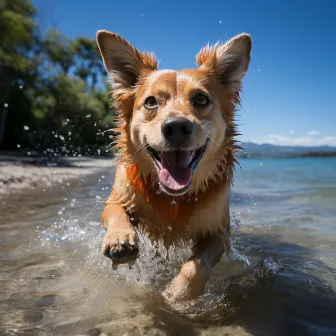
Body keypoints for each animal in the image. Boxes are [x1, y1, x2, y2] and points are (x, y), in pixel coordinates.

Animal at [96, 30, 251, 300]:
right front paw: (119, 239)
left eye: (201, 99)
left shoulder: (218, 232)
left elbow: (197, 265)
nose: (176, 127)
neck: (173, 198)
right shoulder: (119, 195)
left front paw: (178, 294)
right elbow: (116, 211)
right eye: (150, 102)